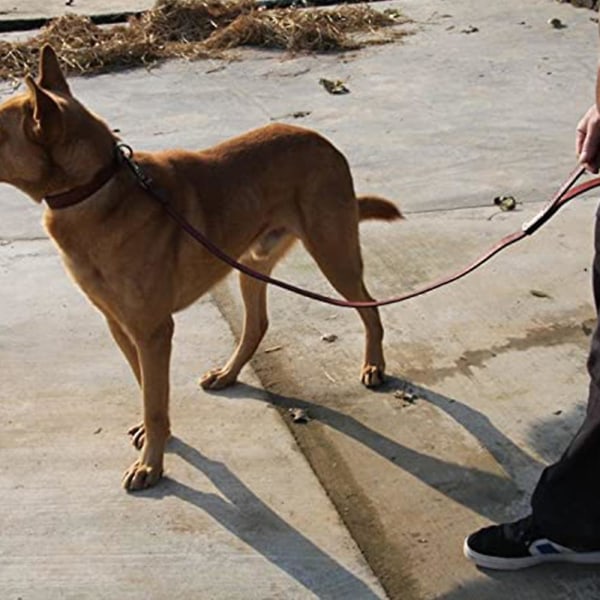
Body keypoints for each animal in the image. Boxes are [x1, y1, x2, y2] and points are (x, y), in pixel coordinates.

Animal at [1, 45, 404, 488]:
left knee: (369, 307)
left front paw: (151, 464)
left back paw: (374, 364)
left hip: (334, 255)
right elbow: (146, 388)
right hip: (250, 265)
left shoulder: (153, 331)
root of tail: (323, 142)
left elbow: (154, 401)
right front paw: (156, 439)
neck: (98, 186)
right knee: (257, 325)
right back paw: (228, 373)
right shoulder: (122, 326)